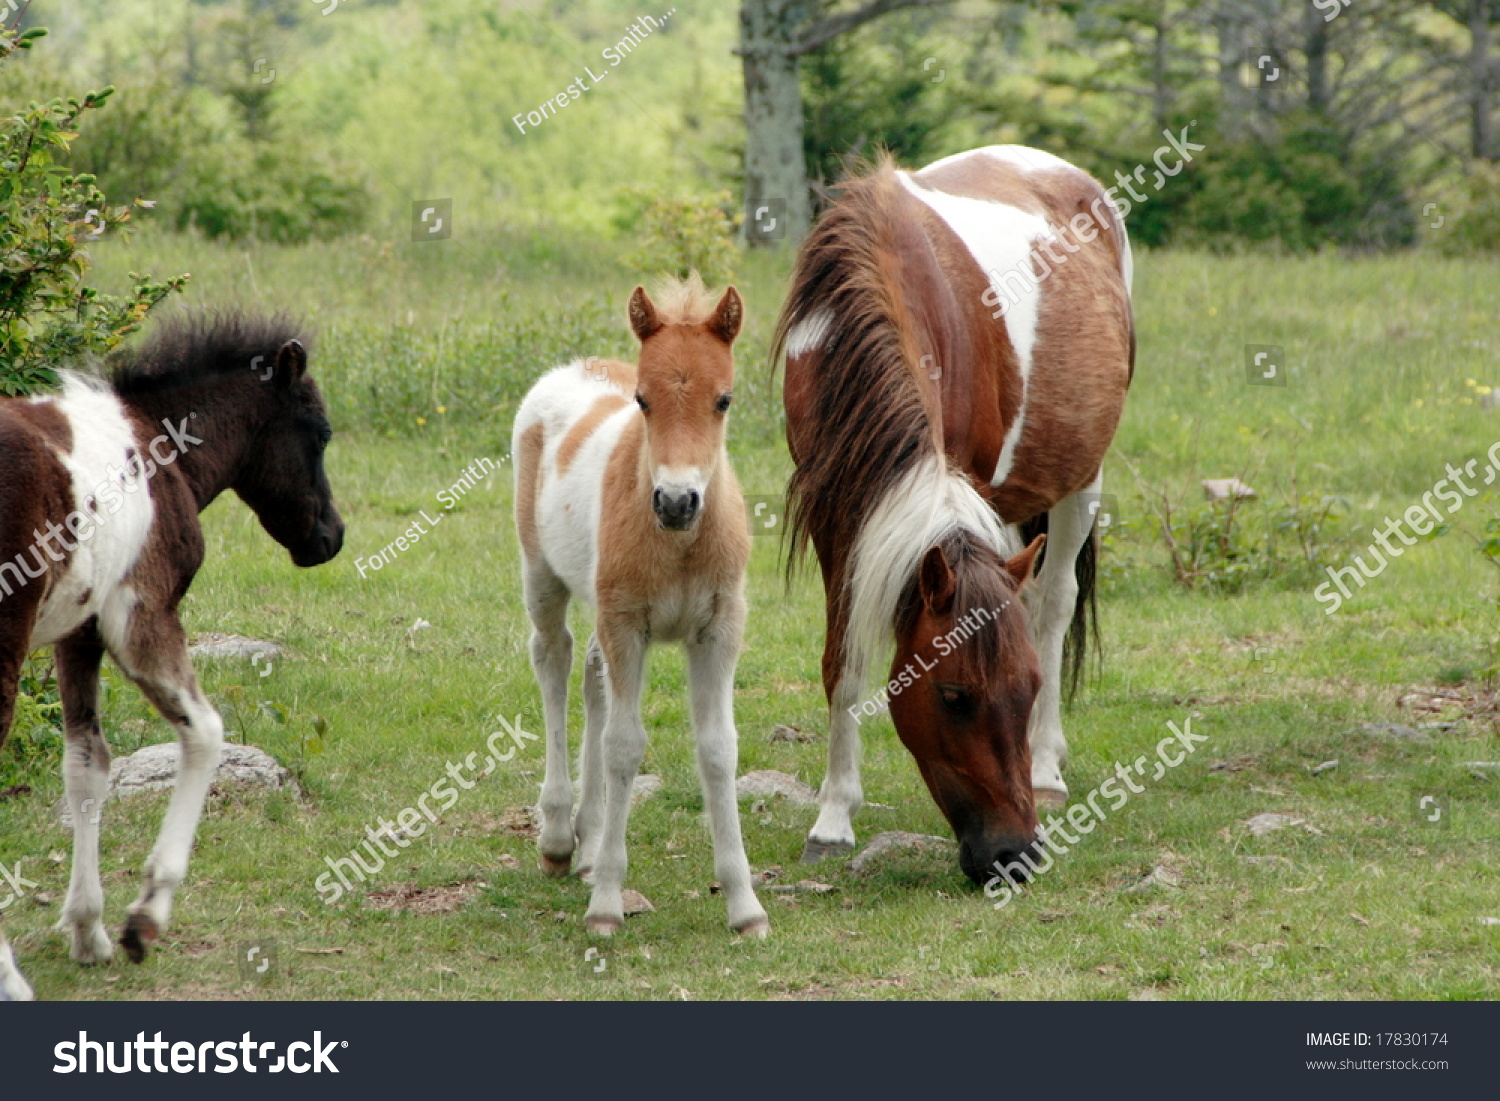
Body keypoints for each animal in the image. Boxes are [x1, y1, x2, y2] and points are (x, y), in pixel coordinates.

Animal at [0, 315, 342, 1002]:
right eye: (319, 432)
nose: (332, 536)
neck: (160, 444)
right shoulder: (142, 612)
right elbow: (207, 732)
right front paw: (144, 916)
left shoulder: (81, 633)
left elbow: (87, 767)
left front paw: (88, 930)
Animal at [516, 277, 774, 942]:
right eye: (642, 400)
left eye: (724, 400)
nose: (677, 501)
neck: (680, 546)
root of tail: (574, 367)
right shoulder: (627, 623)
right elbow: (624, 746)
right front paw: (607, 902)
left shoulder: (719, 629)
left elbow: (718, 749)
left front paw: (745, 906)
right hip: (544, 576)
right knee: (553, 659)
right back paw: (560, 838)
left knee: (591, 676)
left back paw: (585, 841)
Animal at [780, 147, 1128, 888]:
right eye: (953, 696)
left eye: (1027, 688)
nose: (1013, 855)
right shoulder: (837, 509)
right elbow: (843, 659)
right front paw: (833, 817)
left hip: (1081, 479)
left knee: (1054, 605)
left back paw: (1048, 767)